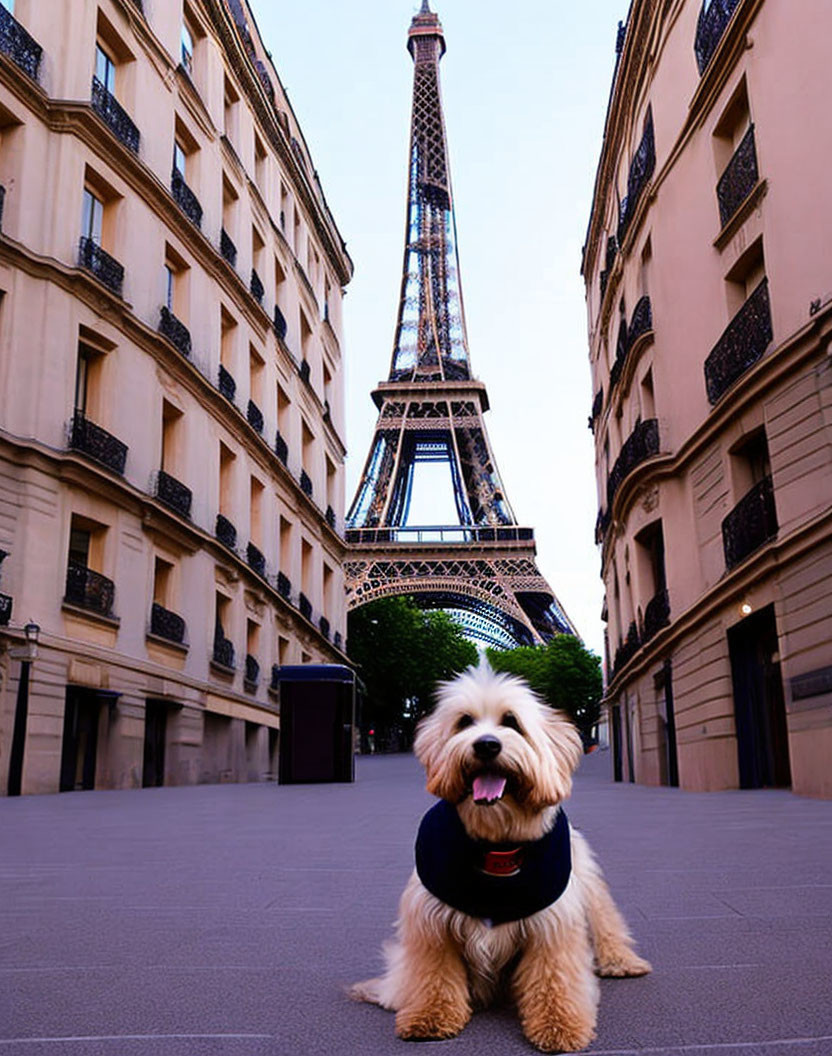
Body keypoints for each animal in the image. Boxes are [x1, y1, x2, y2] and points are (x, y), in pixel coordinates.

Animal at [350, 663, 650, 1051]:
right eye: (464, 722)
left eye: (512, 722)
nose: (487, 745)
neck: (497, 842)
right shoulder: (431, 924)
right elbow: (434, 976)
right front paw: (430, 1016)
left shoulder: (552, 925)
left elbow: (554, 979)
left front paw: (559, 1026)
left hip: (587, 883)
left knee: (606, 921)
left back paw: (621, 961)